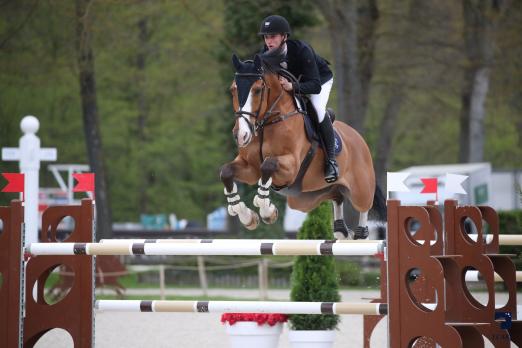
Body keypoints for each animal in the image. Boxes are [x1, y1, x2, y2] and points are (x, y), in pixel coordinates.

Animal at [217, 51, 384, 238]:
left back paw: (359, 232)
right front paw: (247, 217)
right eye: (233, 89)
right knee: (337, 199)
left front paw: (268, 212)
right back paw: (341, 230)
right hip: (307, 197)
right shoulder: (251, 168)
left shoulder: (291, 166)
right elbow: (226, 172)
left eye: (258, 90)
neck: (267, 123)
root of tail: (359, 138)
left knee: (363, 208)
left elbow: (268, 165)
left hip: (360, 189)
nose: (241, 135)